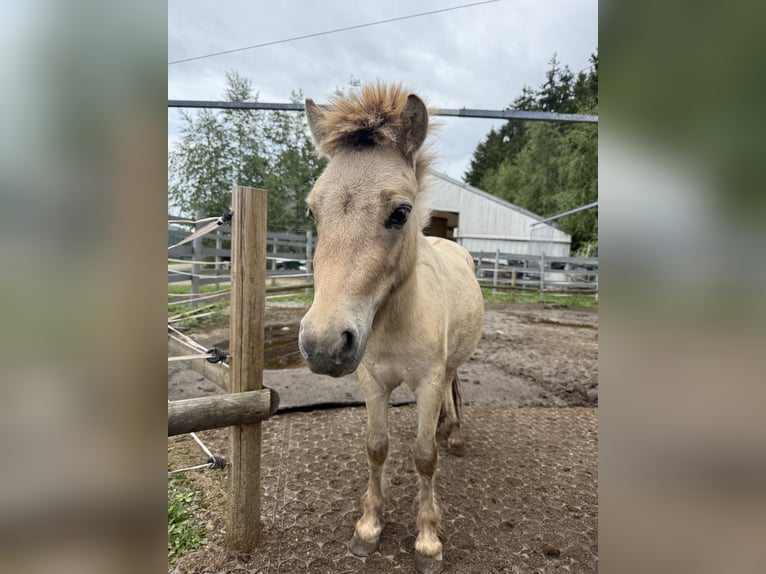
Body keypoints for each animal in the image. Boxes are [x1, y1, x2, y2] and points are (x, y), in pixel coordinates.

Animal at [299, 83, 484, 574]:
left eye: (400, 212)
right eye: (312, 213)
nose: (322, 344)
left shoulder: (428, 381)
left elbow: (424, 456)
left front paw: (427, 541)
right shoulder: (372, 380)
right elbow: (376, 447)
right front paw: (368, 528)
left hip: (450, 365)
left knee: (453, 387)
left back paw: (453, 432)